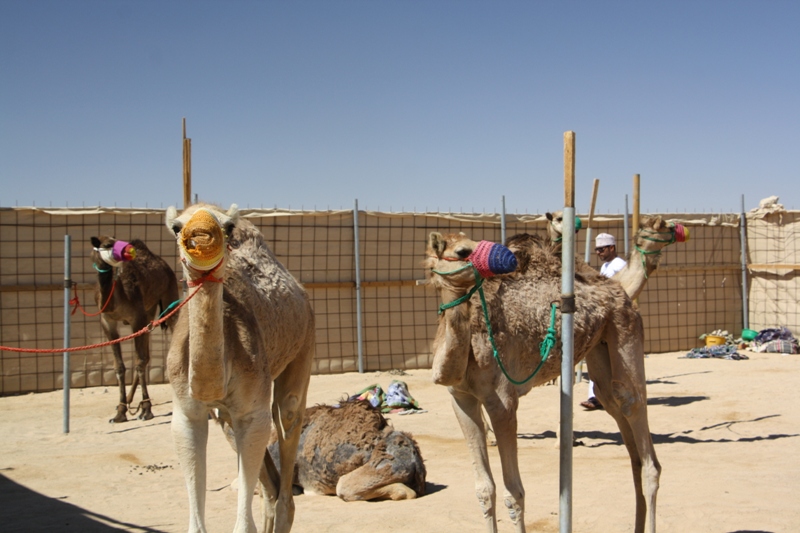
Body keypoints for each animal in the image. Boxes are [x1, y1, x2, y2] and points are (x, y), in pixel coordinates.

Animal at [90, 235, 179, 422]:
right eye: (107, 244)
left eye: (115, 240)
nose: (128, 250)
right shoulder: (107, 322)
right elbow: (119, 366)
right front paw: (120, 412)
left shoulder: (136, 318)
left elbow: (139, 362)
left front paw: (146, 410)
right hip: (150, 311)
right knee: (147, 356)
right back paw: (129, 402)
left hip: (169, 296)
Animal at [164, 203, 314, 532]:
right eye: (177, 227)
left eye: (227, 227)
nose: (201, 236)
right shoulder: (186, 414)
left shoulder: (253, 412)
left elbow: (244, 525)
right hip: (226, 418)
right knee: (269, 488)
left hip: (303, 347)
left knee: (288, 417)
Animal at [428, 230, 660, 532]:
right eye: (462, 252)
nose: (504, 258)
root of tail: (619, 290)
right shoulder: (461, 398)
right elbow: (484, 490)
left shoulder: (503, 402)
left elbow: (514, 494)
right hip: (599, 348)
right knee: (615, 406)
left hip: (625, 328)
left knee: (634, 409)